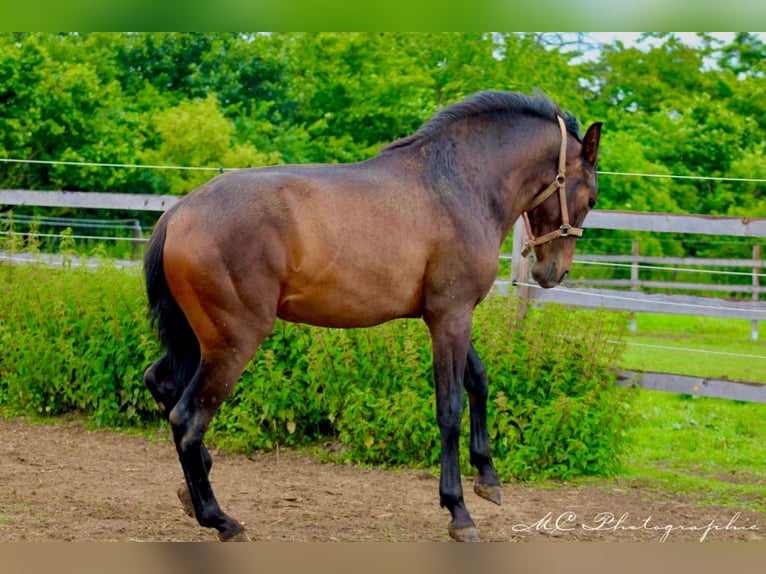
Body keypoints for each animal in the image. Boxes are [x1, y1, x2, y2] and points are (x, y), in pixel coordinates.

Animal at [142, 91, 600, 544]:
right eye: (592, 198)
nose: (553, 272)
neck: (457, 185)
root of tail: (177, 215)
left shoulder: (448, 314)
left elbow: (479, 381)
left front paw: (488, 477)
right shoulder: (450, 316)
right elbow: (449, 407)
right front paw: (458, 510)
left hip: (196, 340)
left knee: (160, 384)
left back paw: (193, 490)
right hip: (233, 343)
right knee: (187, 418)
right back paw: (221, 520)